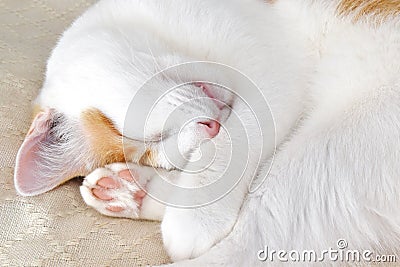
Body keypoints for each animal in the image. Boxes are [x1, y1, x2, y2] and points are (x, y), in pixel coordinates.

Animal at [12, 0, 400, 266]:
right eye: (153, 151)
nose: (204, 128)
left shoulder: (272, 66)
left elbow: (240, 130)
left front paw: (196, 213)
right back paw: (125, 191)